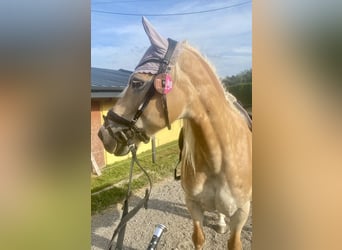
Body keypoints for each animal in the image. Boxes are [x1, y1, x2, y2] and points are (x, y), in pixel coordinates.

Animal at [97, 16, 252, 249]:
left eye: (136, 82)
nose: (103, 134)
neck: (219, 159)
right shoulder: (193, 205)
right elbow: (198, 238)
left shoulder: (241, 213)